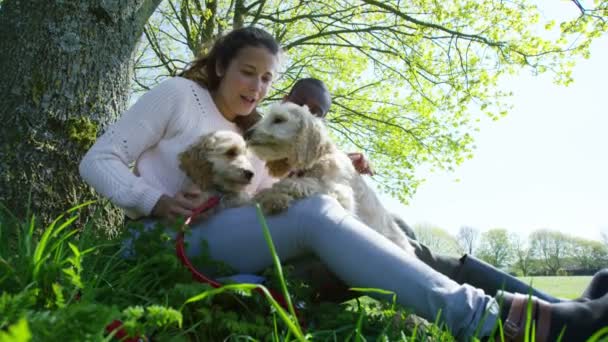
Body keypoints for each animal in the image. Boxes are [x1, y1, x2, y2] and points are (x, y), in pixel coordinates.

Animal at [245, 102, 416, 254]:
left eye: (279, 119)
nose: (247, 133)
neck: (319, 159)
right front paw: (270, 198)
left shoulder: (340, 193)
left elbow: (297, 183)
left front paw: (277, 192)